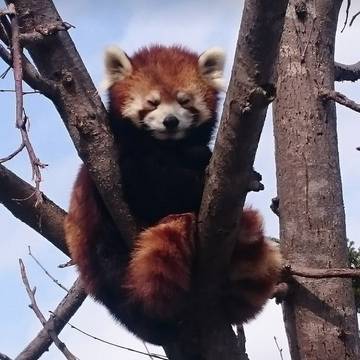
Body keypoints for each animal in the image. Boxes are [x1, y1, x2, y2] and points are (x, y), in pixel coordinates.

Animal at [66, 45, 282, 346]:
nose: (170, 121)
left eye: (184, 101)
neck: (168, 147)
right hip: (100, 241)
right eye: (152, 103)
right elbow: (154, 191)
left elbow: (198, 154)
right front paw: (199, 185)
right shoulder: (122, 157)